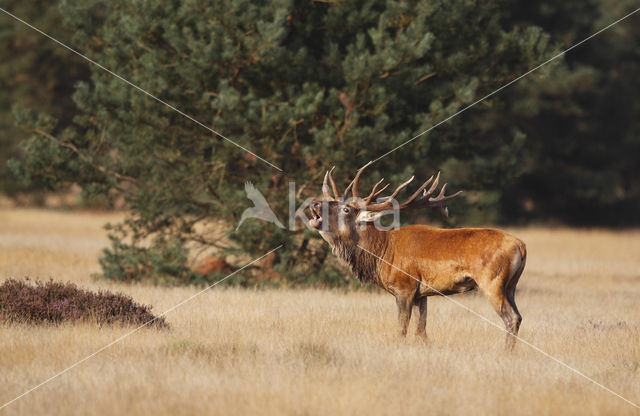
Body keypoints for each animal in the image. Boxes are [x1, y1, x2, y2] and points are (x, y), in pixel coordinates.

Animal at [308, 162, 524, 348]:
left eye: (346, 209)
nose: (315, 203)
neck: (381, 253)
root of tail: (521, 246)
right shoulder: (422, 293)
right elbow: (421, 331)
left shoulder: (405, 286)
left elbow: (402, 328)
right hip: (510, 285)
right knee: (519, 316)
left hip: (491, 281)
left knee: (510, 317)